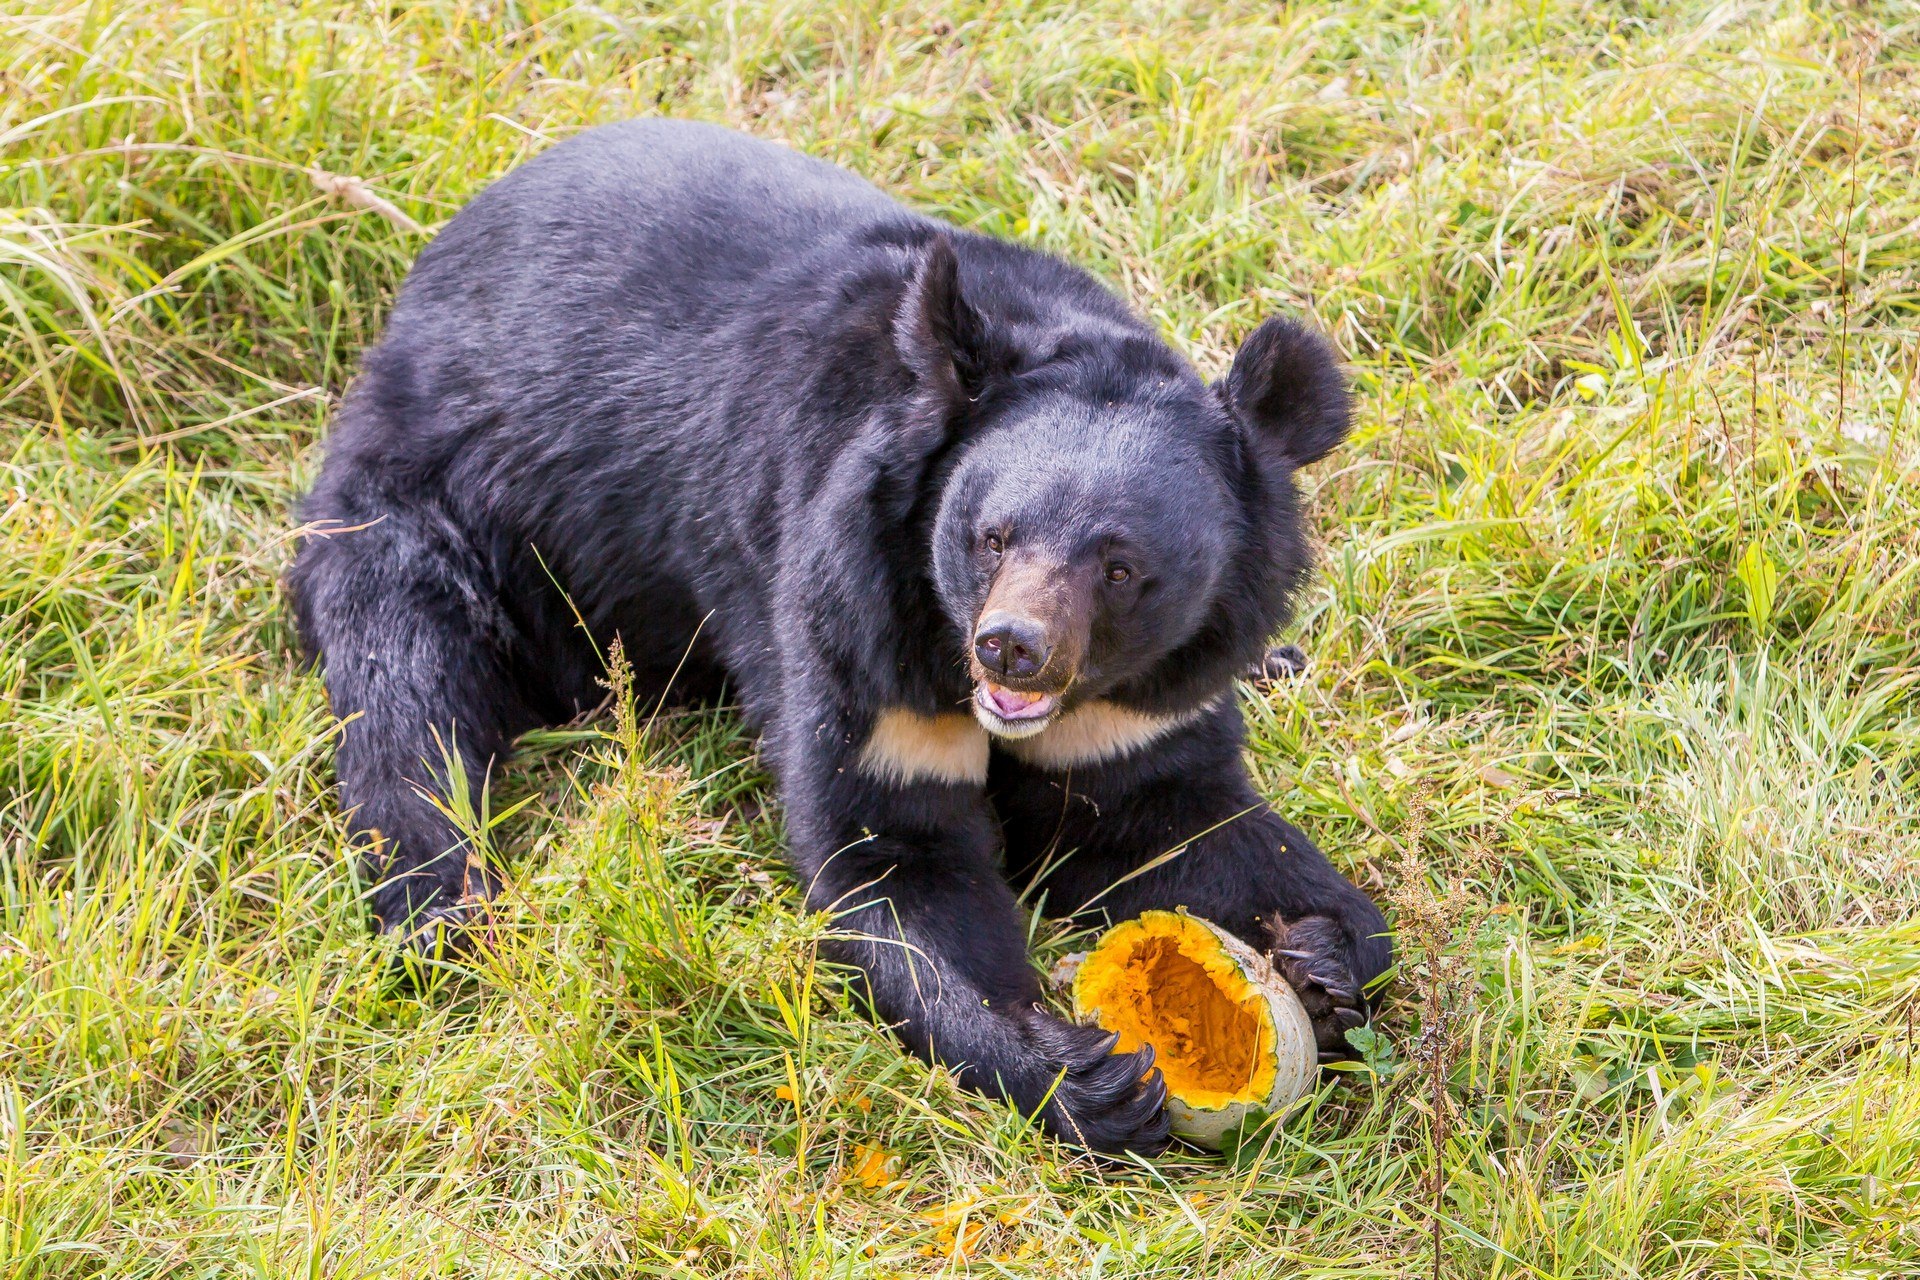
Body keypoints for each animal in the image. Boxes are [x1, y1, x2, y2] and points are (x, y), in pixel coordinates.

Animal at [288, 119, 1397, 1159]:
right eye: (990, 535)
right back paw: (445, 912)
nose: (1011, 649)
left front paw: (1323, 955)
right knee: (411, 699)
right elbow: (892, 857)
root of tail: (426, 277)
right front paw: (1085, 1074)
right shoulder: (851, 620)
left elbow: (1165, 819)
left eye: (1120, 567)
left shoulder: (1142, 697)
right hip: (441, 505)